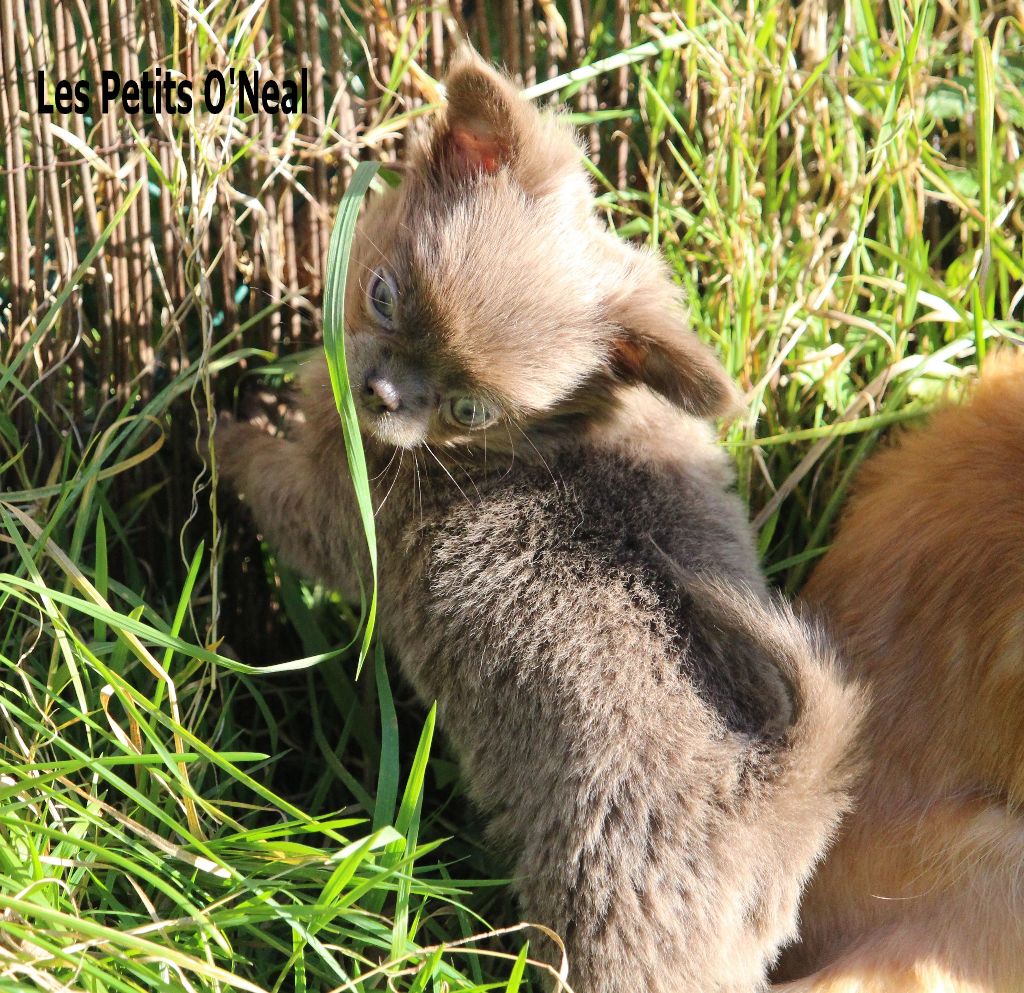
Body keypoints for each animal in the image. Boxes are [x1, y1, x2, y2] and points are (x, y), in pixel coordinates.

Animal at [214, 52, 864, 990]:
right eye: (383, 294)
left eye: (469, 408)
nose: (381, 393)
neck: (552, 437)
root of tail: (776, 791)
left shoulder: (342, 518)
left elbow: (275, 488)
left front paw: (221, 429)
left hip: (604, 930)